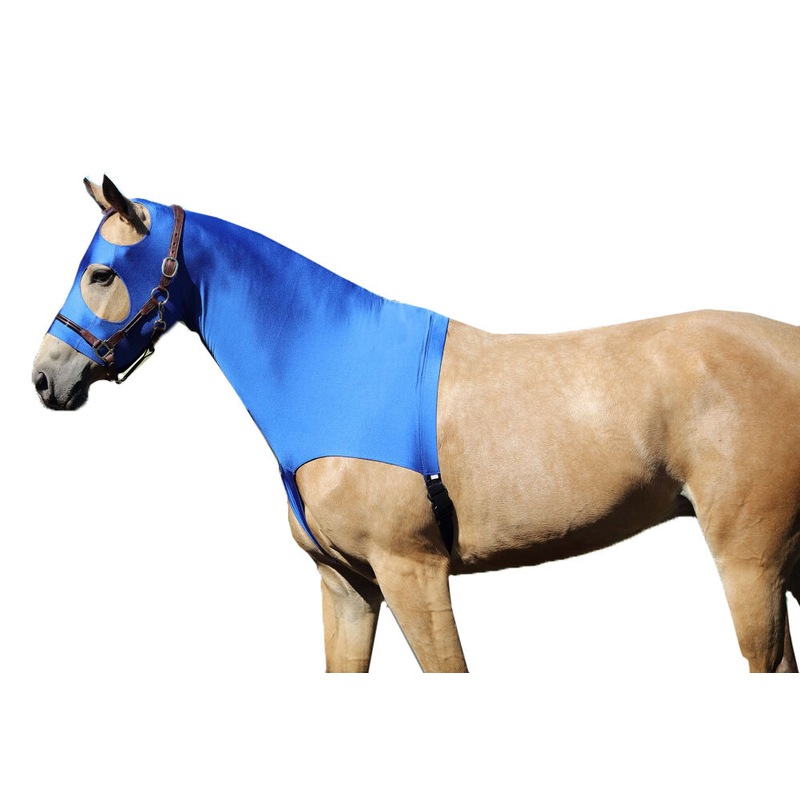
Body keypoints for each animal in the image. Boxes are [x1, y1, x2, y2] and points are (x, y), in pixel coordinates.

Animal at [33, 176, 800, 673]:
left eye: (102, 272)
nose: (45, 377)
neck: (331, 365)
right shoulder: (346, 586)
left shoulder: (413, 572)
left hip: (750, 566)